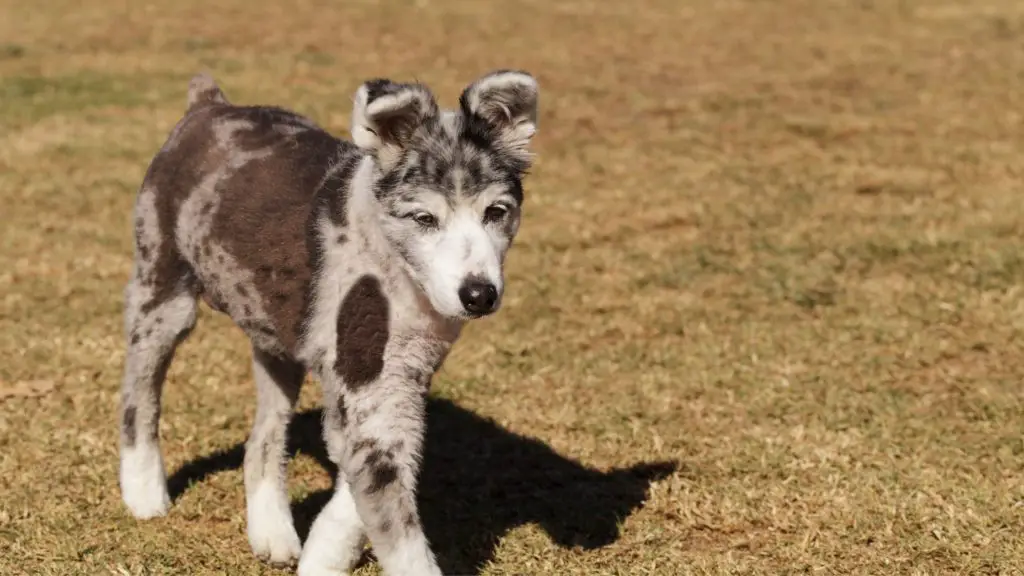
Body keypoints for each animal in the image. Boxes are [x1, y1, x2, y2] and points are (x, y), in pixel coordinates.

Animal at [118, 68, 540, 573]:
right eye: (424, 218)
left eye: (496, 212)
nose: (478, 295)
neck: (392, 263)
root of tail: (208, 105)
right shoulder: (367, 380)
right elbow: (398, 530)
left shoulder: (395, 383)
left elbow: (363, 488)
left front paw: (321, 556)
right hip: (162, 294)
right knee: (138, 397)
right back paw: (144, 494)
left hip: (276, 336)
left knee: (263, 440)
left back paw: (272, 533)